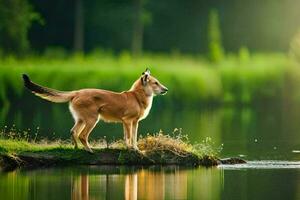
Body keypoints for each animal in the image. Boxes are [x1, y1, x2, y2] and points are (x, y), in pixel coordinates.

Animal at [22, 68, 169, 152]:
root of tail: (76, 92)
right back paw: (89, 150)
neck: (137, 97)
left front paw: (136, 148)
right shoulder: (128, 121)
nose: (166, 89)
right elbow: (129, 137)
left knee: (73, 132)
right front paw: (131, 149)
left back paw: (77, 149)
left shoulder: (132, 122)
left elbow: (132, 136)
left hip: (81, 119)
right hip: (92, 119)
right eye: (155, 83)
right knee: (82, 135)